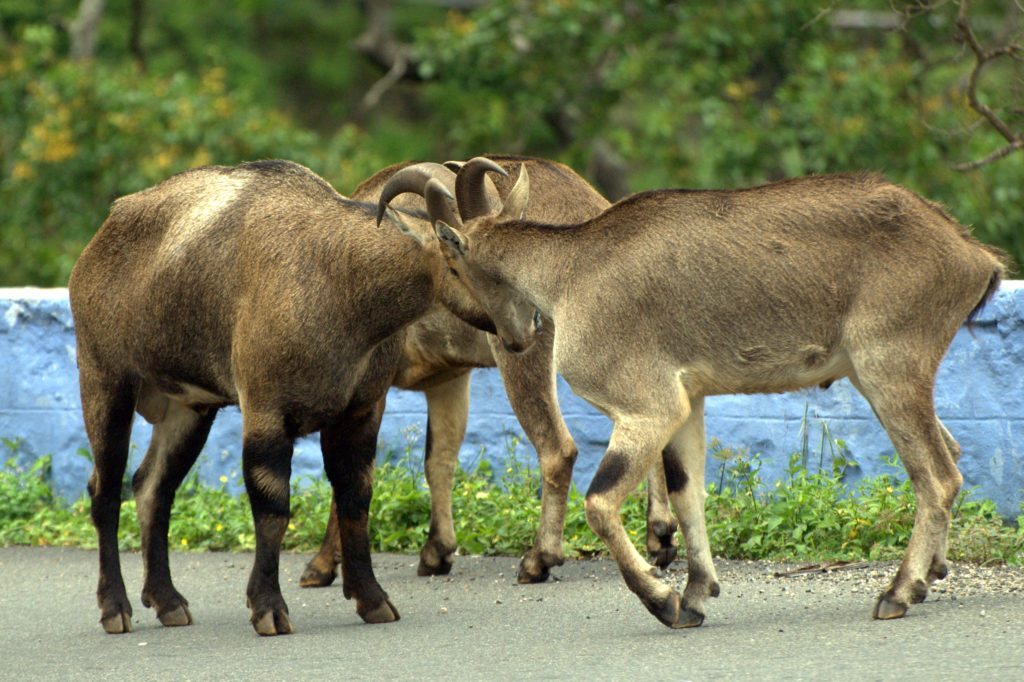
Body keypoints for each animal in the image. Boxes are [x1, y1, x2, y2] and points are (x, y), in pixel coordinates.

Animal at [385, 163, 1007, 626]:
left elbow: (601, 502)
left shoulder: (646, 407)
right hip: (888, 375)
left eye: (452, 264)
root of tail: (973, 255)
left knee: (938, 475)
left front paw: (663, 601)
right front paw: (698, 592)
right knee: (951, 455)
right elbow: (689, 494)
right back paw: (930, 576)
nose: (515, 340)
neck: (571, 271)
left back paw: (897, 592)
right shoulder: (688, 404)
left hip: (889, 367)